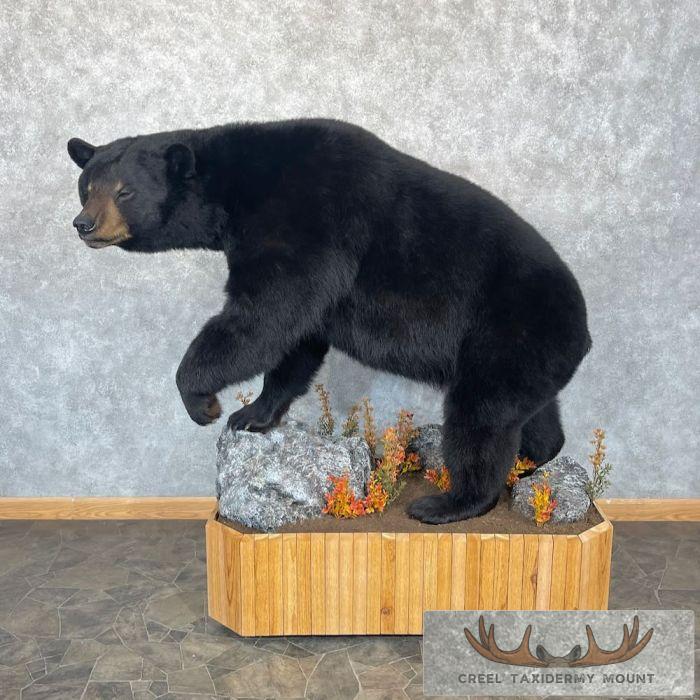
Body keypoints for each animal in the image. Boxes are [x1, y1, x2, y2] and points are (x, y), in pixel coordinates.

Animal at [67, 118, 591, 524]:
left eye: (125, 191)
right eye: (86, 187)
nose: (83, 224)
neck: (236, 191)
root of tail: (584, 328)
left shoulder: (304, 219)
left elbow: (265, 316)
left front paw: (203, 401)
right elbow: (295, 338)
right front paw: (251, 415)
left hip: (508, 330)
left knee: (480, 417)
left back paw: (451, 502)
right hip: (527, 353)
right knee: (529, 411)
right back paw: (535, 458)